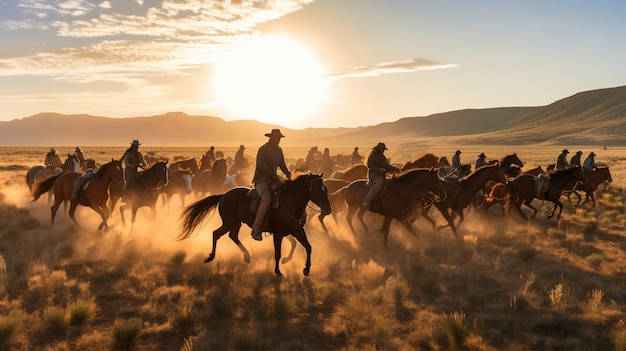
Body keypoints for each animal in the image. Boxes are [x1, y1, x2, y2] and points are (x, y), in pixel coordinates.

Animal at [177, 175, 332, 276]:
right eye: (317, 190)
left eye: (326, 189)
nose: (328, 209)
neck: (291, 203)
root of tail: (223, 195)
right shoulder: (278, 234)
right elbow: (277, 253)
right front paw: (278, 271)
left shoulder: (297, 231)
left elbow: (308, 247)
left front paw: (306, 269)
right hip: (229, 222)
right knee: (216, 233)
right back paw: (211, 257)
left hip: (236, 223)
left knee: (232, 236)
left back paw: (246, 256)